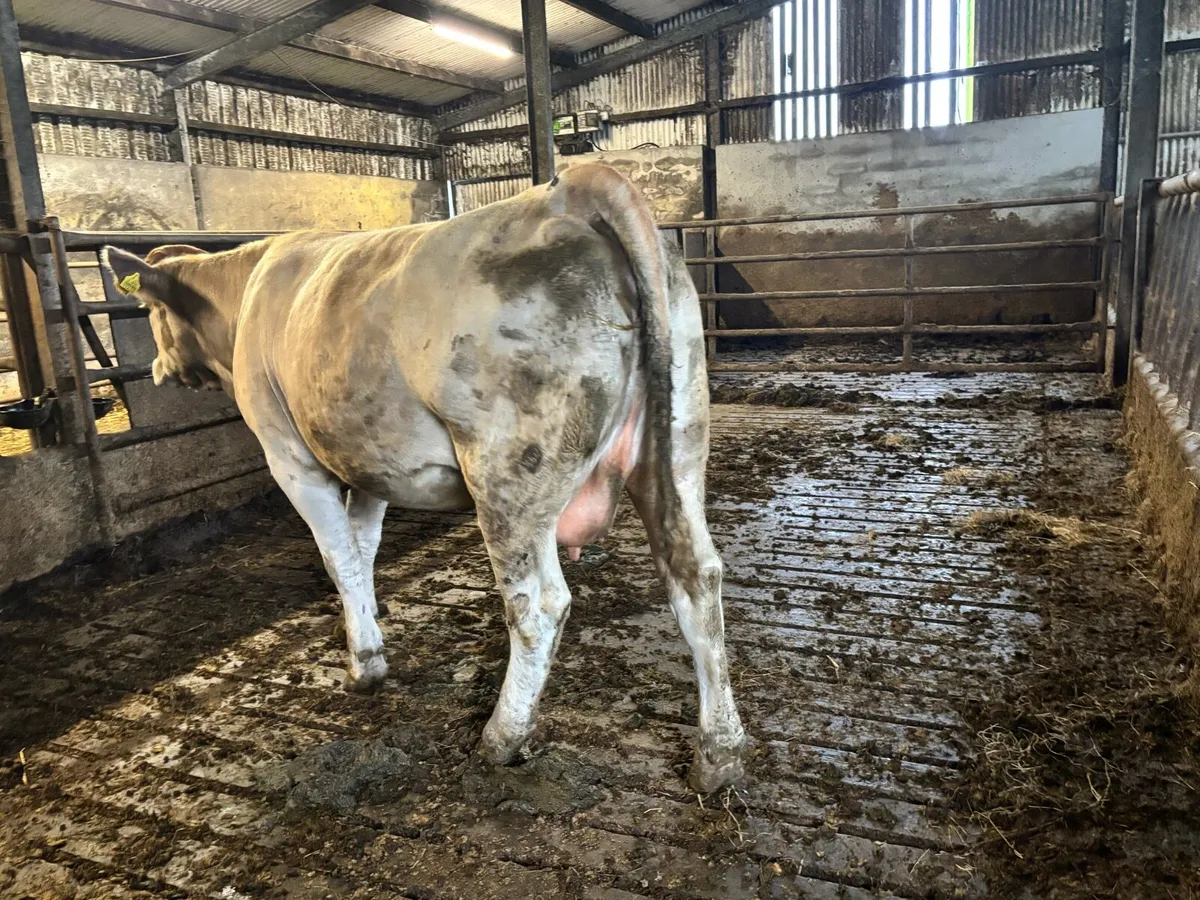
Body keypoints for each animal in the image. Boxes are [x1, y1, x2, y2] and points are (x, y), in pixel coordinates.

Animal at [101, 163, 745, 792]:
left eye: (150, 312)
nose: (155, 369)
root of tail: (574, 189)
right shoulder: (370, 463)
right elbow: (364, 547)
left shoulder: (289, 455)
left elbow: (338, 556)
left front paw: (364, 664)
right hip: (678, 442)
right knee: (695, 574)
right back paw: (719, 754)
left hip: (509, 471)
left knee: (538, 605)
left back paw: (501, 737)